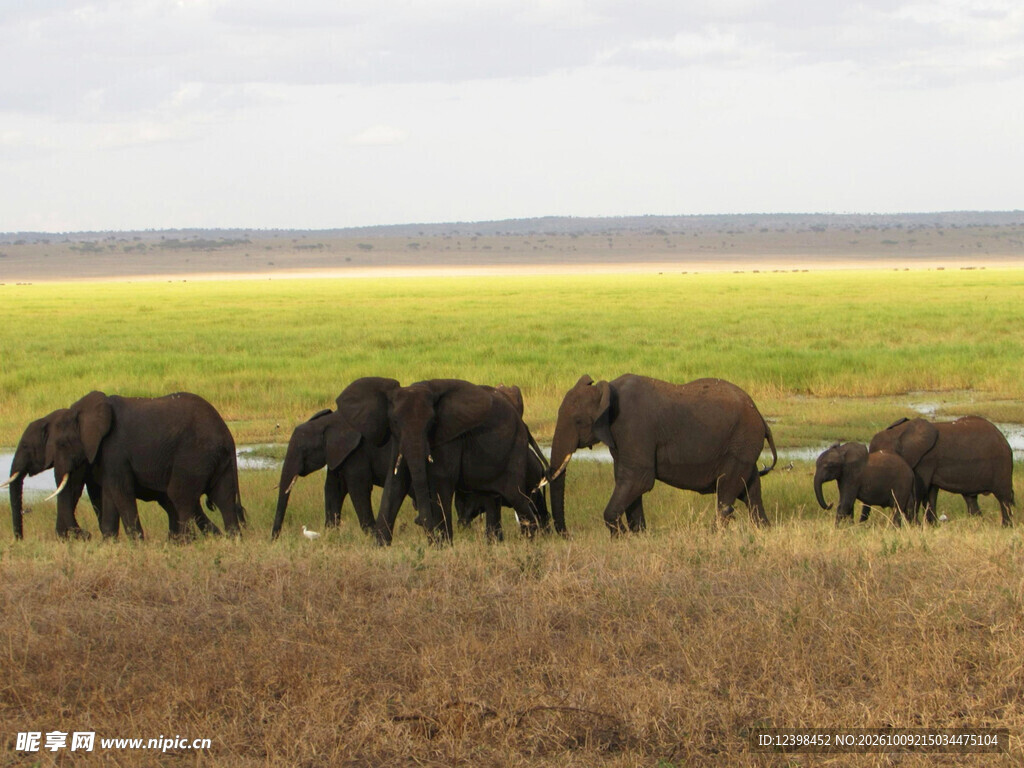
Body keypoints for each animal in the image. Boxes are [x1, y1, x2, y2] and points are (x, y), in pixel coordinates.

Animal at [44, 391, 246, 539]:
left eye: (62, 444)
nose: (86, 535)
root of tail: (227, 435)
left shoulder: (115, 449)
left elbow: (121, 492)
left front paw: (136, 544)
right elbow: (110, 493)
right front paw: (110, 543)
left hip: (194, 454)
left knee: (180, 496)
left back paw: (186, 542)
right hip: (217, 458)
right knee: (224, 498)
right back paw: (232, 540)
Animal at [271, 377, 404, 539]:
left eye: (304, 450)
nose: (274, 540)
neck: (329, 422)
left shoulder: (358, 451)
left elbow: (358, 488)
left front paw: (370, 534)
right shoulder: (338, 454)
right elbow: (334, 488)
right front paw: (331, 533)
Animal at [374, 379, 545, 545]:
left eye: (432, 422)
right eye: (394, 421)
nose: (431, 539)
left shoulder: (450, 436)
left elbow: (442, 480)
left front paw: (443, 546)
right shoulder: (398, 438)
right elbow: (395, 481)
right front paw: (381, 547)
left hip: (515, 448)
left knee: (516, 495)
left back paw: (530, 542)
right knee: (494, 498)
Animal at [547, 375, 777, 534]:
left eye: (578, 421)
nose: (567, 535)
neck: (606, 390)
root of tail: (760, 417)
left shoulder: (634, 427)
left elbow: (638, 479)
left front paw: (620, 536)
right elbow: (628, 482)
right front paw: (638, 535)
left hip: (741, 443)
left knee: (727, 491)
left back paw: (714, 534)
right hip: (743, 445)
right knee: (750, 490)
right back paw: (764, 529)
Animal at [869, 416, 1014, 526]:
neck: (898, 433)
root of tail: (1003, 438)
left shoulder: (926, 459)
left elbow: (920, 490)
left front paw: (915, 526)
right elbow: (930, 493)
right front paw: (931, 526)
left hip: (1002, 465)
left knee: (1004, 498)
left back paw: (1006, 527)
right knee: (971, 499)